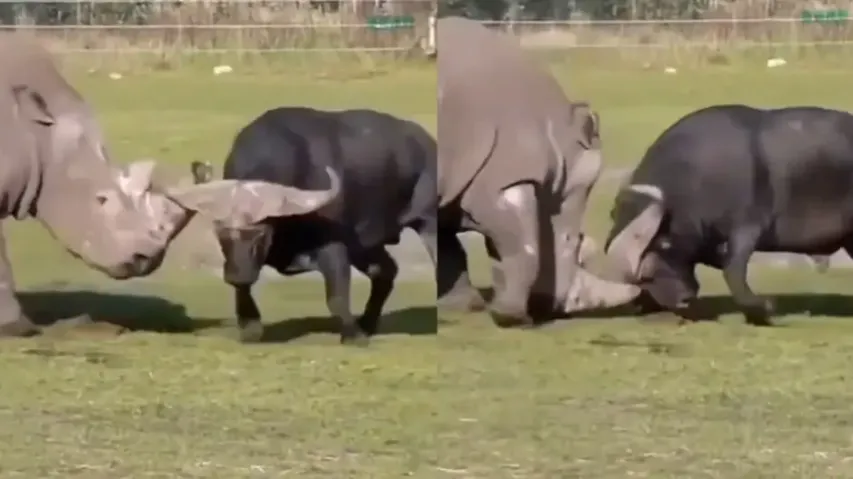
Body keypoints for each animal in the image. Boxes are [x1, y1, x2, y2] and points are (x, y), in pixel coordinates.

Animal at [435, 17, 646, 326]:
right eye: (571, 240)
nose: (554, 309)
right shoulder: (505, 173)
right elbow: (519, 243)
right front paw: (508, 316)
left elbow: (454, 247)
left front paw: (467, 306)